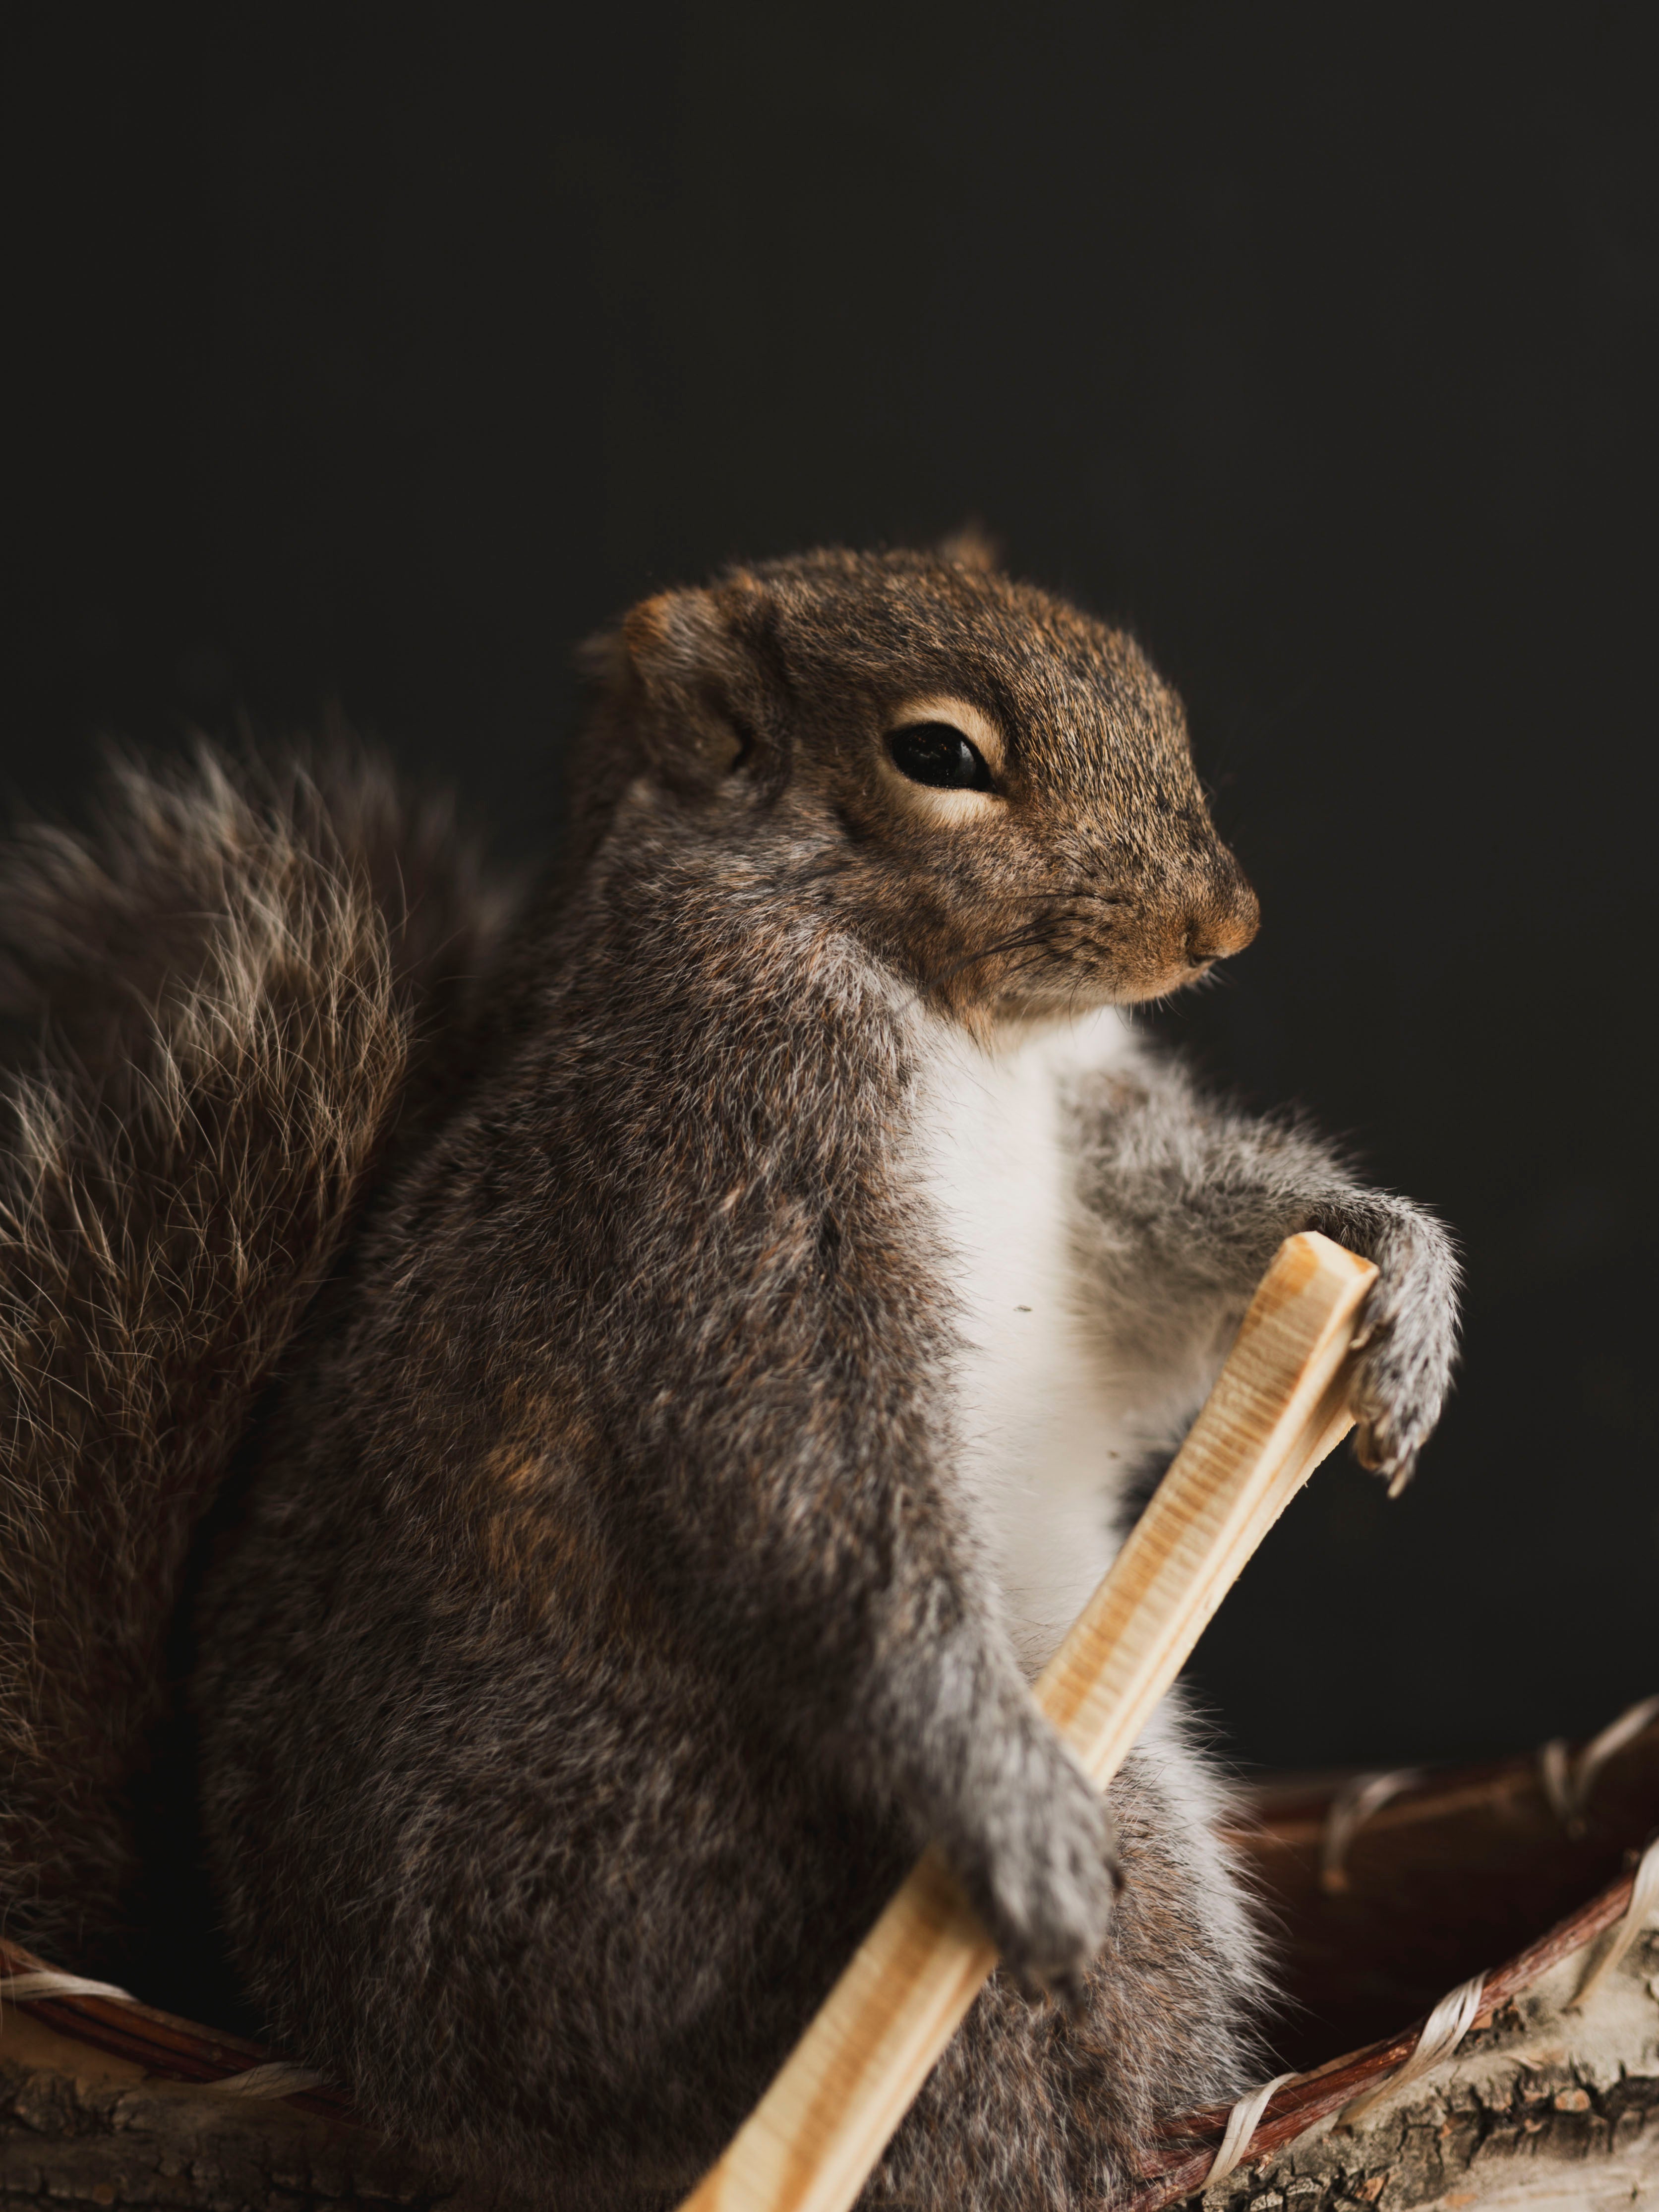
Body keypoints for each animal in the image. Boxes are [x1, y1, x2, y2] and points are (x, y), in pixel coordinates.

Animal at [0, 543, 1458, 2210]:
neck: (960, 1022)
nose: (1224, 924)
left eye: (1136, 669)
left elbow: (1175, 1255)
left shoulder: (1084, 1160)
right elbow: (815, 1489)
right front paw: (1002, 1797)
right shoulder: (731, 1167)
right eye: (937, 755)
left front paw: (1394, 1260)